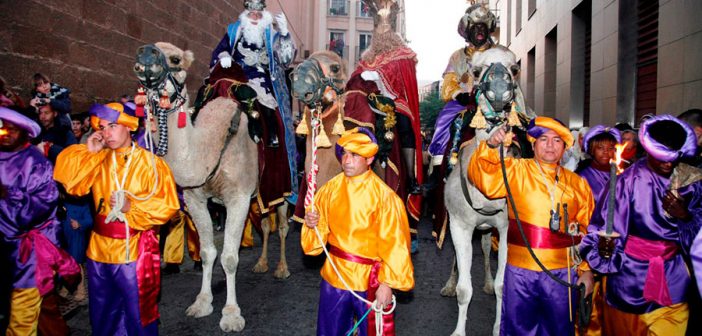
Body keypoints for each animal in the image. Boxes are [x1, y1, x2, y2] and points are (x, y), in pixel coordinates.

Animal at [133, 41, 290, 330]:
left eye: (175, 58)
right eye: (137, 57)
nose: (145, 56)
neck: (210, 145)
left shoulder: (238, 197)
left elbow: (229, 256)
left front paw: (231, 314)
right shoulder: (195, 198)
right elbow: (208, 252)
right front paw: (202, 303)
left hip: (282, 186)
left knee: (283, 225)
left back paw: (281, 269)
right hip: (258, 196)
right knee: (264, 222)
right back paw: (261, 263)